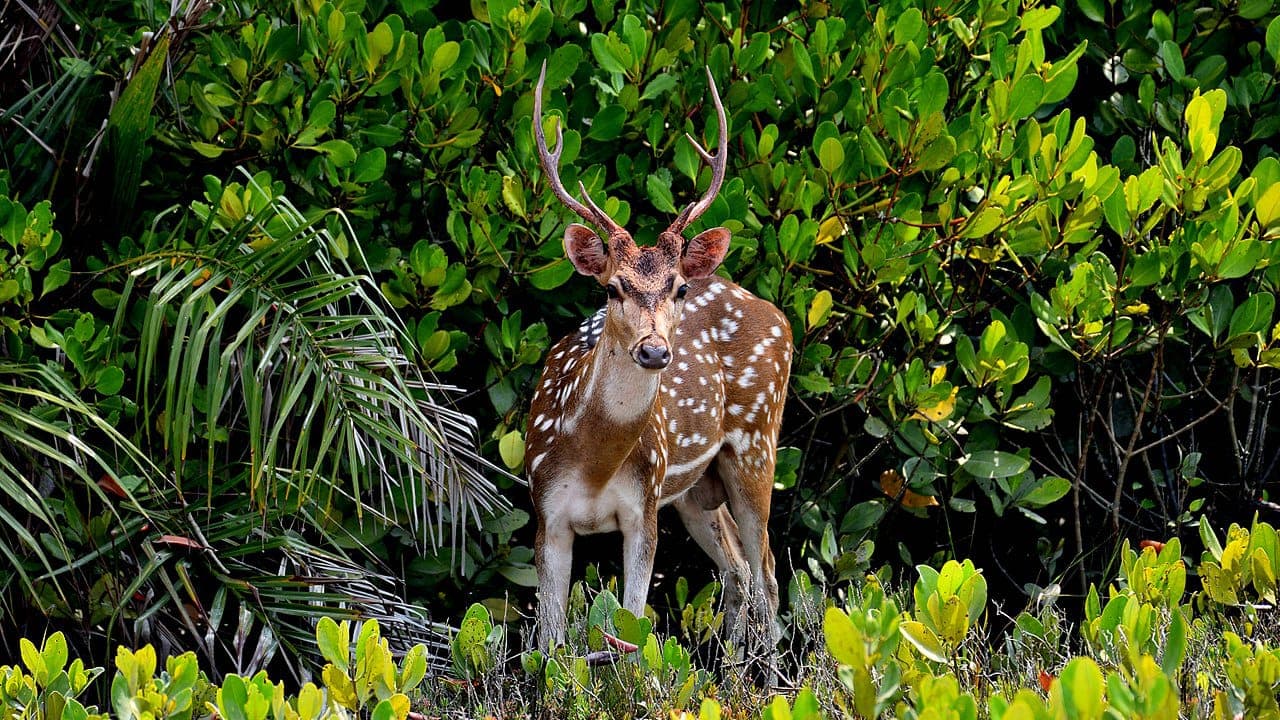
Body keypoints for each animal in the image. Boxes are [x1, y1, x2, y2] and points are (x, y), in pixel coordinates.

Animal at [526, 62, 792, 678]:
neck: (594, 463)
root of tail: (779, 316)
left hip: (755, 445)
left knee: (767, 571)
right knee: (737, 569)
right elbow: (549, 645)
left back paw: (771, 681)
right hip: (695, 491)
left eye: (678, 288)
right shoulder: (545, 509)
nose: (653, 351)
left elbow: (629, 629)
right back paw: (732, 673)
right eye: (612, 287)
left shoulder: (643, 506)